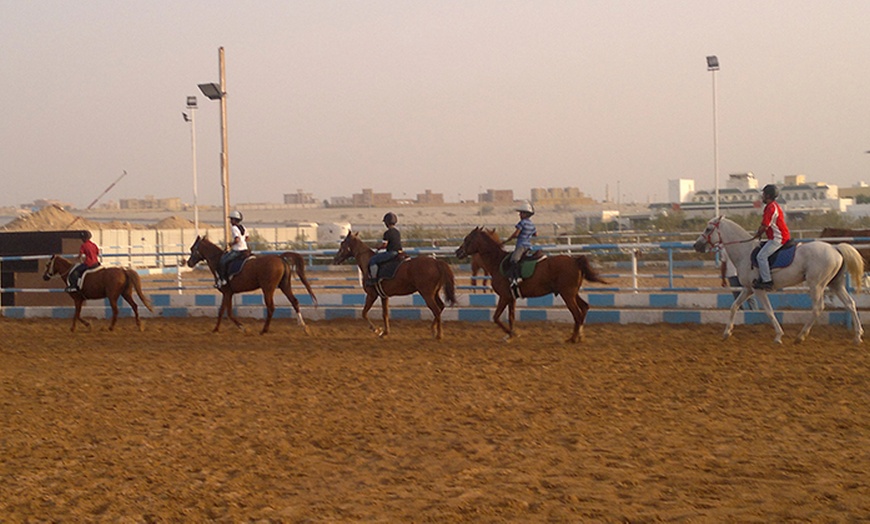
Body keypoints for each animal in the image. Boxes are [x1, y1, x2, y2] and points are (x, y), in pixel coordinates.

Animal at [186, 236, 316, 334]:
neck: (218, 261)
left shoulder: (227, 292)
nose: (189, 263)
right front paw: (216, 329)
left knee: (271, 307)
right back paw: (303, 326)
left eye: (192, 248)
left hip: (268, 289)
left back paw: (264, 330)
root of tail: (280, 258)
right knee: (294, 301)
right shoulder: (228, 293)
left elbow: (227, 312)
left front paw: (242, 327)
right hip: (284, 286)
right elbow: (223, 311)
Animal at [332, 232, 460, 340]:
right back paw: (433, 330)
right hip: (434, 293)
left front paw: (376, 330)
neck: (367, 261)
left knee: (436, 310)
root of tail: (436, 262)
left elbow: (364, 313)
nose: (335, 259)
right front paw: (385, 333)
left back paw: (438, 334)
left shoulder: (371, 295)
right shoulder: (384, 296)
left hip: (427, 294)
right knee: (441, 307)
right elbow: (385, 314)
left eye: (343, 244)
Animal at [456, 226, 608, 344]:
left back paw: (573, 338)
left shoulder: (504, 297)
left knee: (577, 314)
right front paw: (511, 334)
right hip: (573, 293)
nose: (457, 252)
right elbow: (511, 317)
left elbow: (496, 317)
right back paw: (580, 336)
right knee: (584, 308)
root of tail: (576, 261)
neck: (497, 262)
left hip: (568, 295)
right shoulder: (511, 298)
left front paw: (511, 334)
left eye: (467, 239)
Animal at [696, 216, 864, 344]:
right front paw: (727, 332)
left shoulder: (758, 290)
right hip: (835, 285)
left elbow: (769, 311)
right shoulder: (748, 289)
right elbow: (734, 306)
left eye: (708, 229)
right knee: (850, 304)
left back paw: (801, 336)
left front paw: (778, 336)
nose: (696, 245)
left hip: (816, 285)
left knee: (818, 308)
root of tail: (835, 248)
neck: (745, 252)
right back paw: (857, 335)